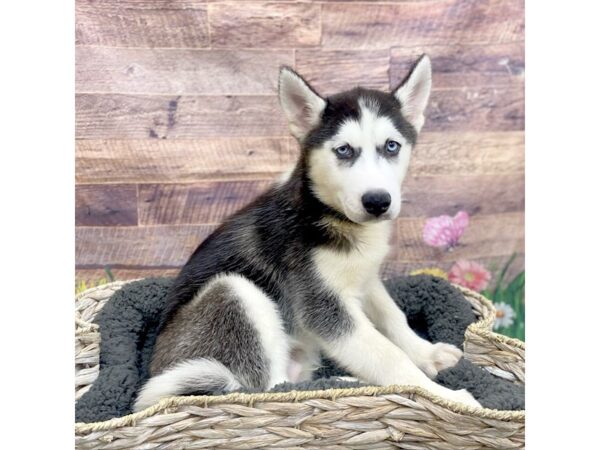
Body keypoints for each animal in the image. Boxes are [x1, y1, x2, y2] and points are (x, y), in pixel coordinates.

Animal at [134, 55, 480, 412]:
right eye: (343, 150)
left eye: (391, 146)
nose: (377, 202)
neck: (332, 216)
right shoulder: (322, 307)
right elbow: (387, 355)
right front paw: (442, 395)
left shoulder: (366, 278)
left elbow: (393, 317)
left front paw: (427, 353)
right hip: (234, 291)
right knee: (268, 388)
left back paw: (344, 383)